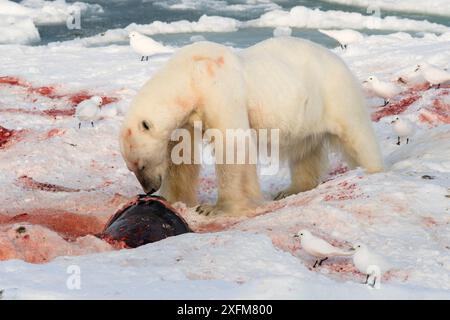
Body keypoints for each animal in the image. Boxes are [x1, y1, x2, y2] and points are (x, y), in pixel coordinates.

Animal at [120, 38, 384, 218]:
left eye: (141, 164)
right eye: (131, 167)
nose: (149, 189)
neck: (192, 75)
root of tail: (338, 60)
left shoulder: (220, 92)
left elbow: (231, 146)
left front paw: (214, 209)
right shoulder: (188, 117)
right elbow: (182, 156)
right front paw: (173, 199)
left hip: (335, 95)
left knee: (357, 137)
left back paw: (374, 170)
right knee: (303, 151)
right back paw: (291, 189)